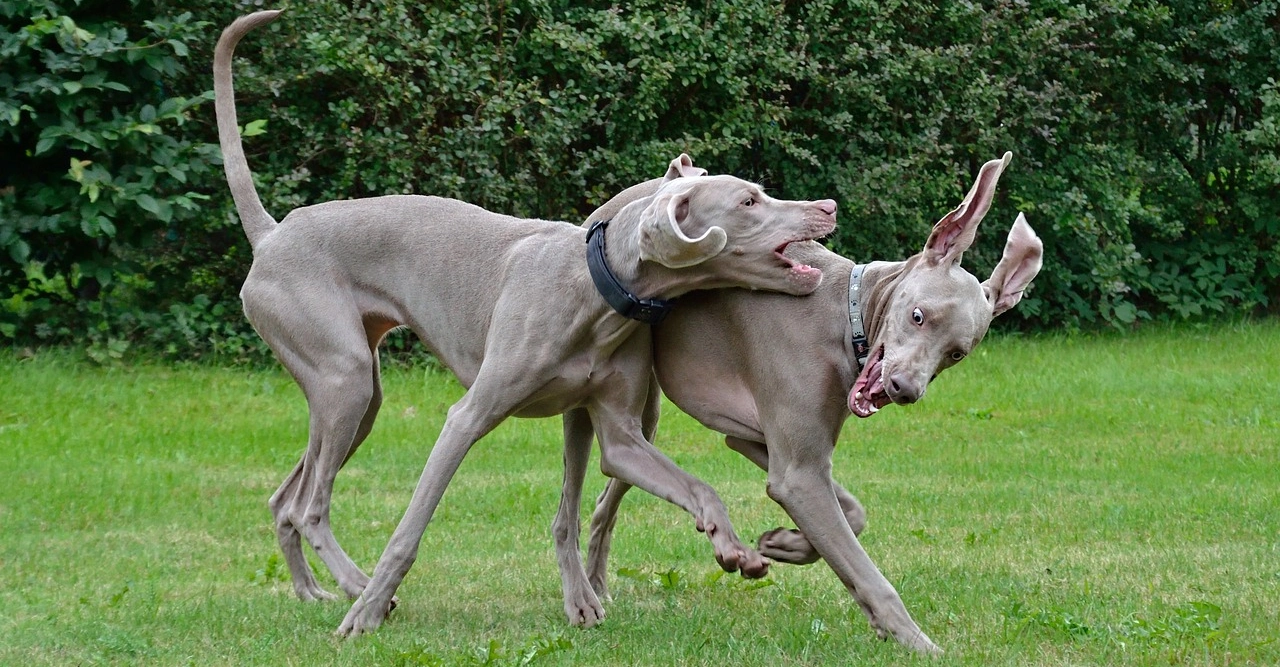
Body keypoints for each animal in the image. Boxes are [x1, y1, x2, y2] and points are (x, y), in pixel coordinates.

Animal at [216, 10, 844, 634]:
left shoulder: (617, 433)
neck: (596, 288)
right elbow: (410, 530)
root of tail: (271, 234)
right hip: (343, 377)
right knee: (310, 505)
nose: (828, 208)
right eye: (748, 202)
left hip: (359, 396)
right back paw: (360, 593)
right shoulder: (466, 418)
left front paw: (732, 549)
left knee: (287, 499)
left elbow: (690, 488)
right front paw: (368, 611)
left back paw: (312, 591)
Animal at [558, 153, 1039, 652]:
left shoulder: (759, 444)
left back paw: (599, 584)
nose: (903, 389)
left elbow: (854, 513)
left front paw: (784, 543)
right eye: (917, 315)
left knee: (607, 501)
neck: (845, 313)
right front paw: (915, 641)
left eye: (956, 354)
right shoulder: (797, 475)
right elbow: (865, 568)